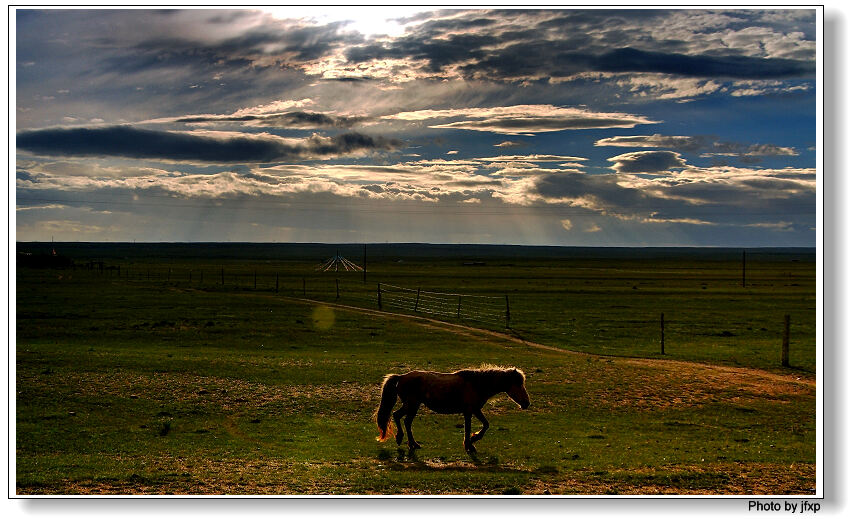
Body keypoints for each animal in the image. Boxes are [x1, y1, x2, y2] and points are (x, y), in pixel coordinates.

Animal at [372, 366, 528, 456]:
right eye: (519, 384)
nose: (527, 403)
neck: (477, 384)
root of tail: (401, 377)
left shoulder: (472, 411)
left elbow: (482, 425)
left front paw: (470, 443)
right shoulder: (471, 410)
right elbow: (477, 427)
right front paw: (471, 442)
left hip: (412, 406)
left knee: (405, 421)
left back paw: (413, 444)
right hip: (412, 404)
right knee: (398, 417)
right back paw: (401, 439)